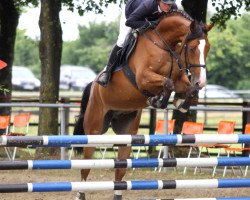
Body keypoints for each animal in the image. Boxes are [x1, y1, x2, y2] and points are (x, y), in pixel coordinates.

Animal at [73, 10, 212, 200]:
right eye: (192, 48)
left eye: (208, 48)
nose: (201, 82)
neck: (164, 45)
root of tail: (93, 84)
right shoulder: (144, 78)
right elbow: (167, 83)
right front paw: (158, 100)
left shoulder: (179, 78)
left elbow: (184, 87)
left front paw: (181, 102)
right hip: (94, 129)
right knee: (86, 166)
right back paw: (80, 193)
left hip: (127, 132)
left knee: (120, 168)